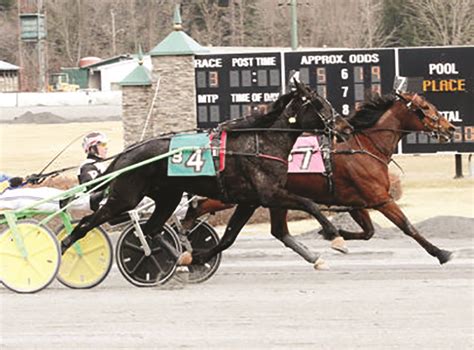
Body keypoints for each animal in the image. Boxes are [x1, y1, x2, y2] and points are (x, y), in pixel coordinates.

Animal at [182, 91, 456, 266]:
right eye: (426, 108)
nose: (450, 128)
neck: (364, 146)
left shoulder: (356, 201)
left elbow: (368, 232)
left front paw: (333, 234)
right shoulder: (380, 198)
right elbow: (408, 227)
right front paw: (441, 252)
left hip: (265, 199)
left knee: (276, 231)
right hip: (233, 195)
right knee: (197, 207)